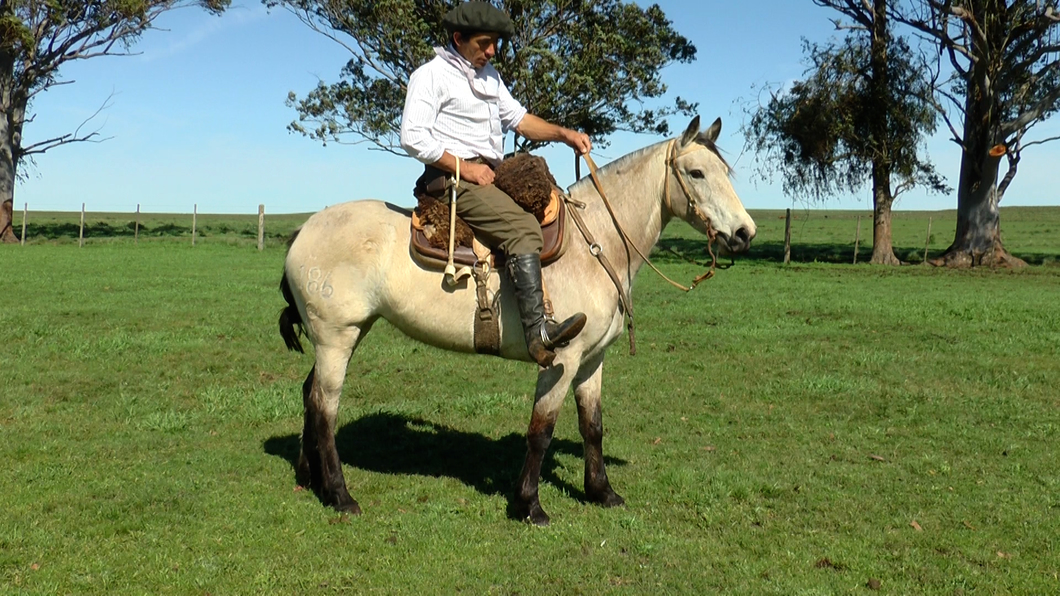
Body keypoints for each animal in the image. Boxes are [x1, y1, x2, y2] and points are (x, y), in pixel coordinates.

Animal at [277, 116, 758, 523]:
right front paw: (529, 506)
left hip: (346, 335)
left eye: (724, 171)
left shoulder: (592, 361)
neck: (596, 245)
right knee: (324, 408)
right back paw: (341, 495)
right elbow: (540, 430)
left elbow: (593, 426)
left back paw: (310, 476)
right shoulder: (562, 358)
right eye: (695, 173)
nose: (744, 233)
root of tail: (303, 232)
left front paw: (602, 492)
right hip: (336, 338)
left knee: (309, 395)